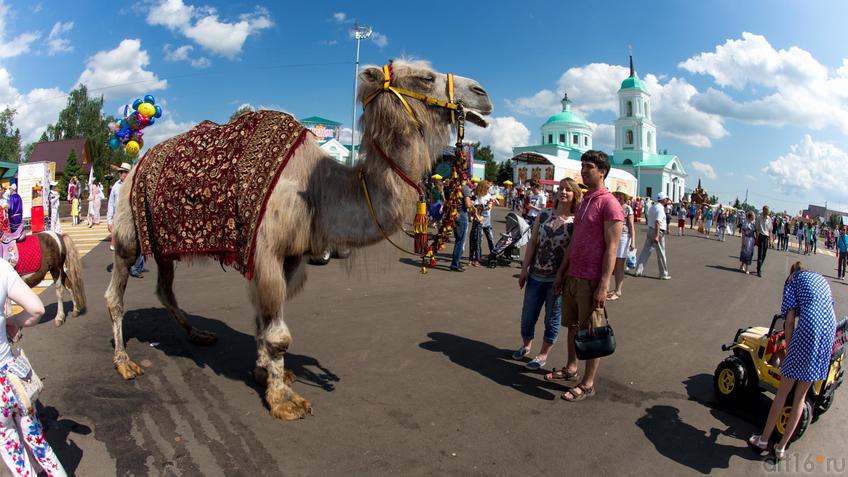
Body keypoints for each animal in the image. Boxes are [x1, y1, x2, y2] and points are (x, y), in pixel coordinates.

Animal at [106, 59, 494, 420]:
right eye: (425, 77)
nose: (483, 93)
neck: (319, 190)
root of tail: (138, 165)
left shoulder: (292, 257)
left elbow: (263, 322)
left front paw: (265, 373)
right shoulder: (265, 251)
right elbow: (278, 335)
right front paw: (283, 400)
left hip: (162, 241)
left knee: (164, 289)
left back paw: (198, 334)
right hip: (127, 231)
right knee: (115, 294)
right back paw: (124, 362)